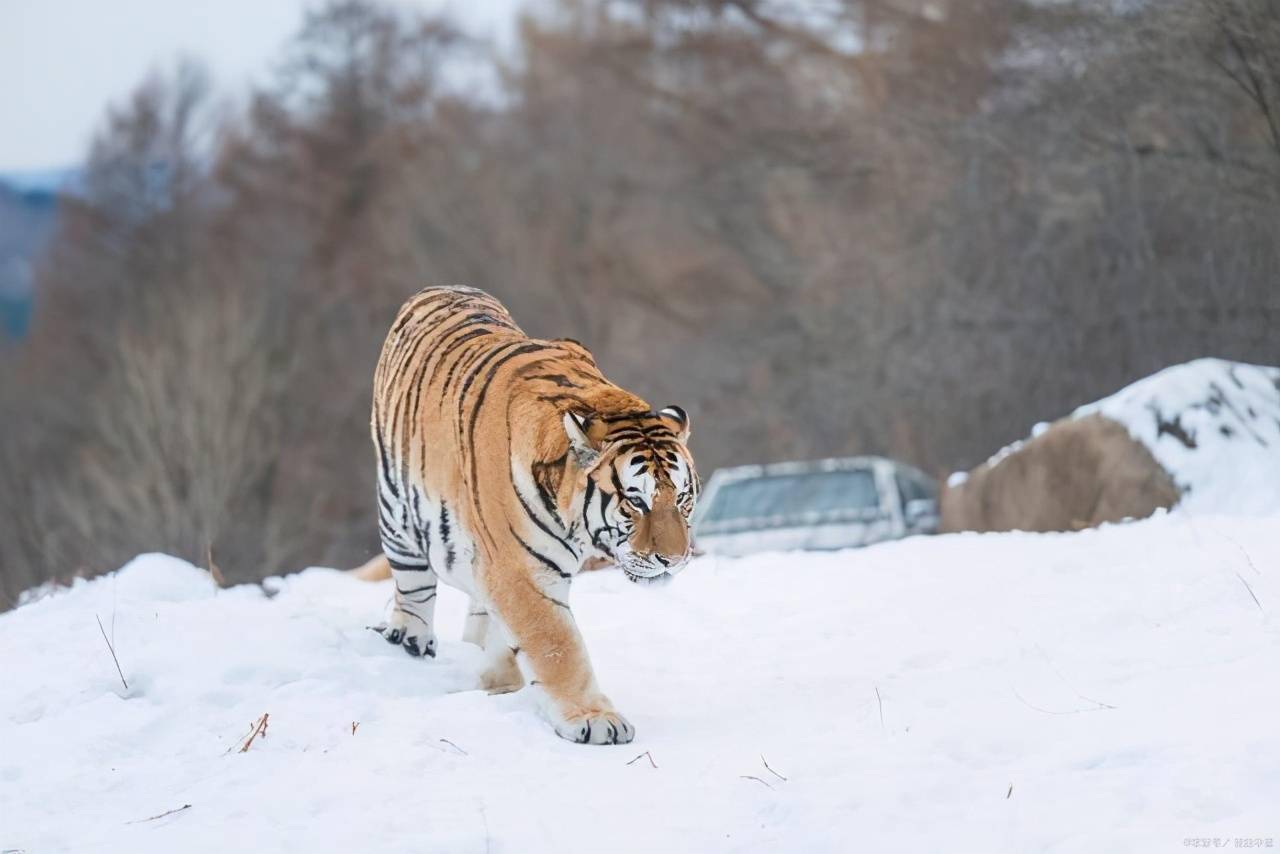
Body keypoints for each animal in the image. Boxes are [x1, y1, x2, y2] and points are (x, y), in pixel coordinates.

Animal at [360, 285, 701, 742]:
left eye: (682, 498)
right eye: (635, 501)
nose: (674, 560)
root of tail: (443, 287)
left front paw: (499, 681)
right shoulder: (520, 571)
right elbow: (558, 645)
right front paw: (596, 720)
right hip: (397, 510)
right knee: (413, 585)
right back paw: (409, 638)